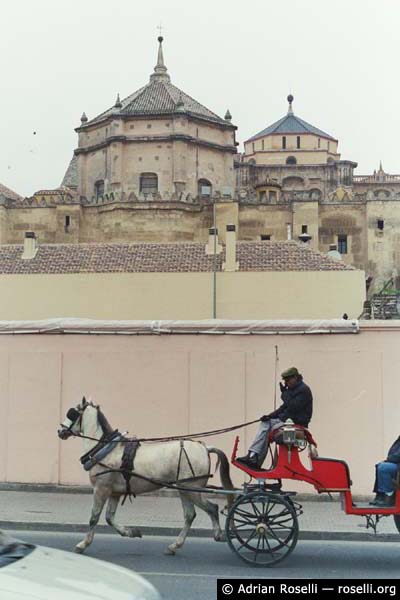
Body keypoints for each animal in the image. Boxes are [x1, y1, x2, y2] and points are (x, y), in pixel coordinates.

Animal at [57, 396, 234, 556]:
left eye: (72, 413)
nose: (60, 431)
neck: (106, 450)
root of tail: (205, 448)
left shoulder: (101, 489)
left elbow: (94, 517)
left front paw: (83, 544)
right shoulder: (115, 492)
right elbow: (109, 518)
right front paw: (131, 532)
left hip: (191, 489)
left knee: (212, 508)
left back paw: (218, 535)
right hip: (184, 489)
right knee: (190, 515)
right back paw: (174, 546)